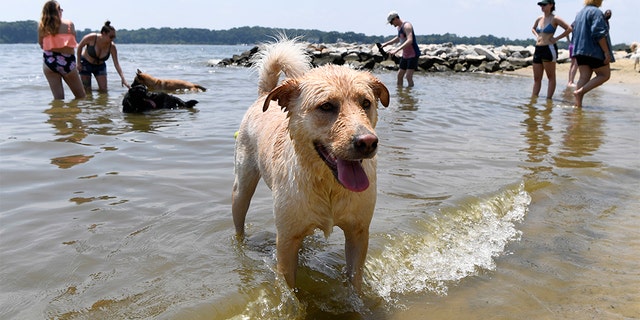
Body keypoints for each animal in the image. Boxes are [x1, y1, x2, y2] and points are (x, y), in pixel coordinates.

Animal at [232, 38, 388, 292]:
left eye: (366, 103)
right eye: (326, 106)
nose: (367, 142)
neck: (329, 186)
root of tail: (263, 96)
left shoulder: (358, 233)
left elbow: (355, 280)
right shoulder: (286, 241)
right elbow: (288, 290)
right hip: (242, 189)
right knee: (239, 221)